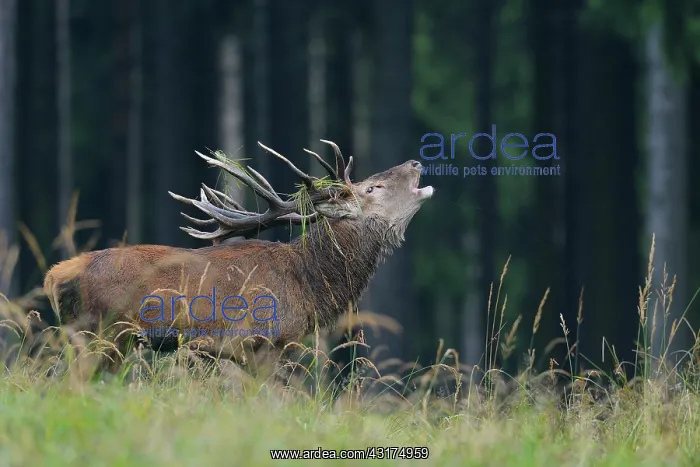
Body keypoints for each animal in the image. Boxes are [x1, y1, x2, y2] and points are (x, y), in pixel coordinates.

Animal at [43, 140, 434, 370]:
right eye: (373, 188)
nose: (415, 163)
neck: (309, 286)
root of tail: (57, 274)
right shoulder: (256, 342)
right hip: (103, 333)